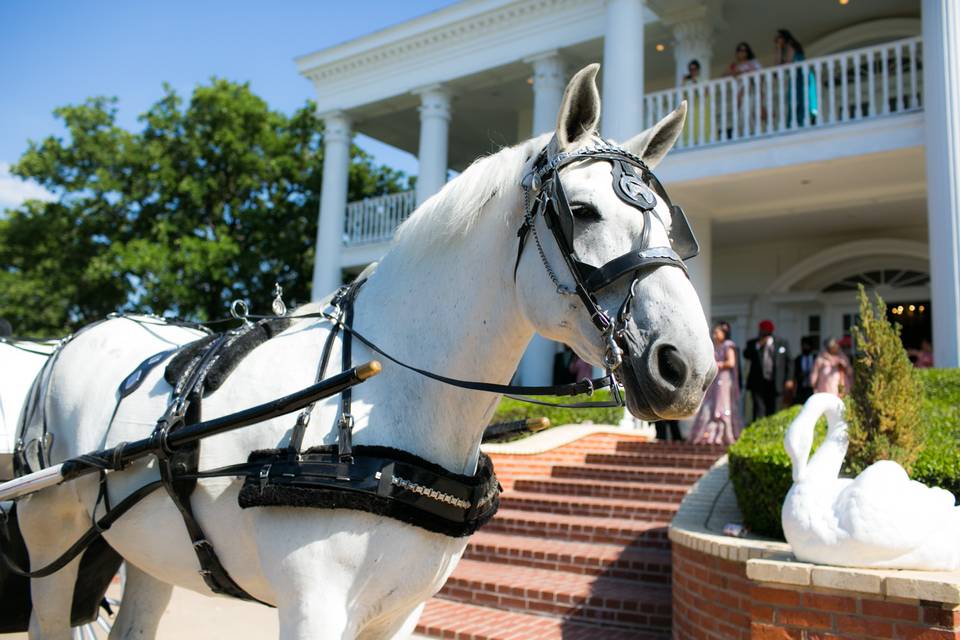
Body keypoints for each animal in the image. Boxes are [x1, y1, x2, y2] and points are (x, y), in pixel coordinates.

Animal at [18, 66, 716, 640]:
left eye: (676, 226)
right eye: (582, 211)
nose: (688, 368)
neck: (389, 395)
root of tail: (69, 343)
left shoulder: (401, 610)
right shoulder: (314, 607)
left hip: (148, 551)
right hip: (49, 537)